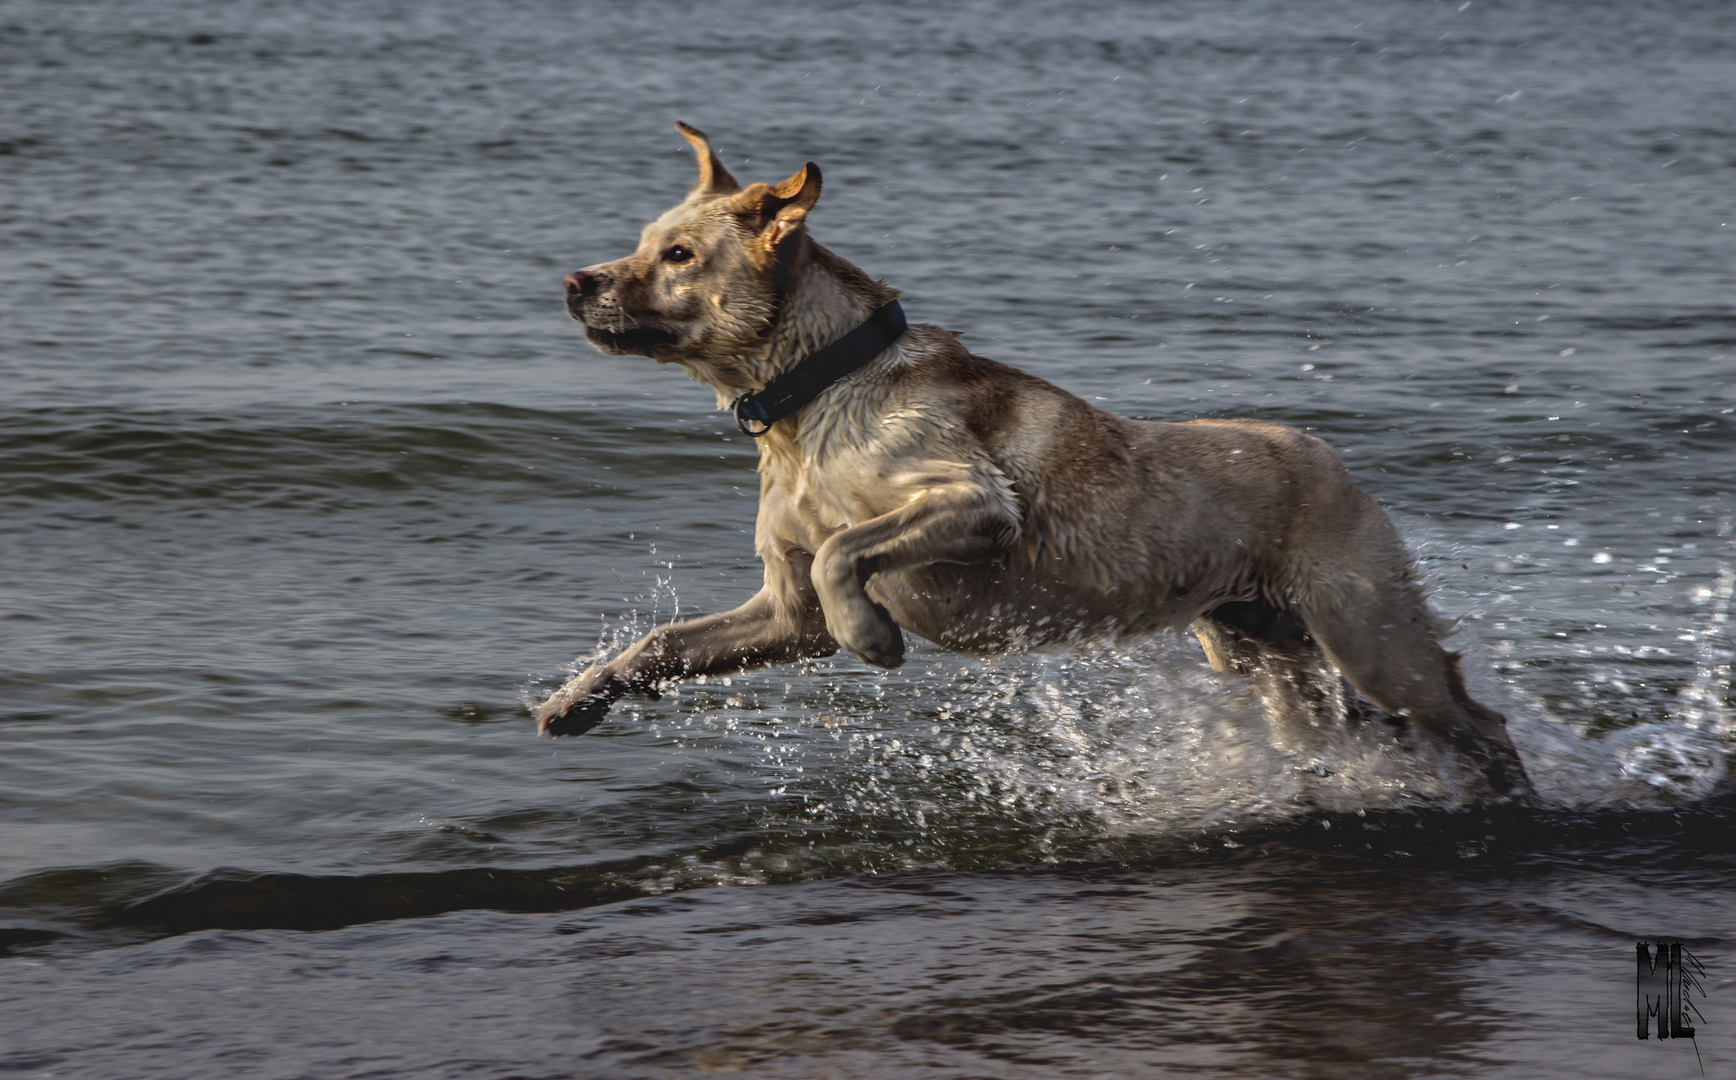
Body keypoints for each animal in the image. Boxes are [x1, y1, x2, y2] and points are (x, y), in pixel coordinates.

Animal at [531, 125, 1534, 805]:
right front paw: (579, 698)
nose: (575, 283)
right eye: (643, 241)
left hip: (1370, 636)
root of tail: (1335, 461)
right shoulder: (785, 613)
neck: (814, 400)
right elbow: (662, 642)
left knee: (1478, 722)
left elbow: (848, 547)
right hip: (1267, 658)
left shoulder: (975, 505)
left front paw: (876, 639)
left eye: (679, 255)